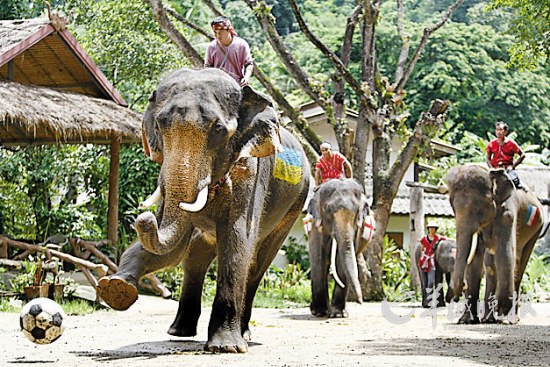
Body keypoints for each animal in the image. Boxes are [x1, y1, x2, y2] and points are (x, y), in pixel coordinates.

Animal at [95, 69, 310, 354]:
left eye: (218, 130)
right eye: (160, 125)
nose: (143, 217)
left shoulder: (251, 175)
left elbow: (236, 243)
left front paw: (226, 347)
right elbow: (173, 249)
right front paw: (115, 289)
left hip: (295, 205)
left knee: (257, 263)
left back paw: (244, 334)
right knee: (195, 256)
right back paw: (179, 332)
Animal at [308, 180, 374, 318]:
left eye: (356, 213)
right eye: (328, 211)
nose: (361, 301)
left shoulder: (356, 230)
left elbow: (341, 259)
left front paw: (338, 314)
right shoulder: (316, 225)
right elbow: (319, 258)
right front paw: (319, 312)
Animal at [448, 165, 548, 324]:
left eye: (478, 207)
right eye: (453, 206)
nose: (463, 285)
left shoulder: (508, 214)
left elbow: (506, 254)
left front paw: (504, 317)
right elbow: (475, 260)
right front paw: (466, 321)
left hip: (536, 230)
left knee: (519, 264)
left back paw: (511, 319)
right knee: (491, 264)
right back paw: (488, 319)